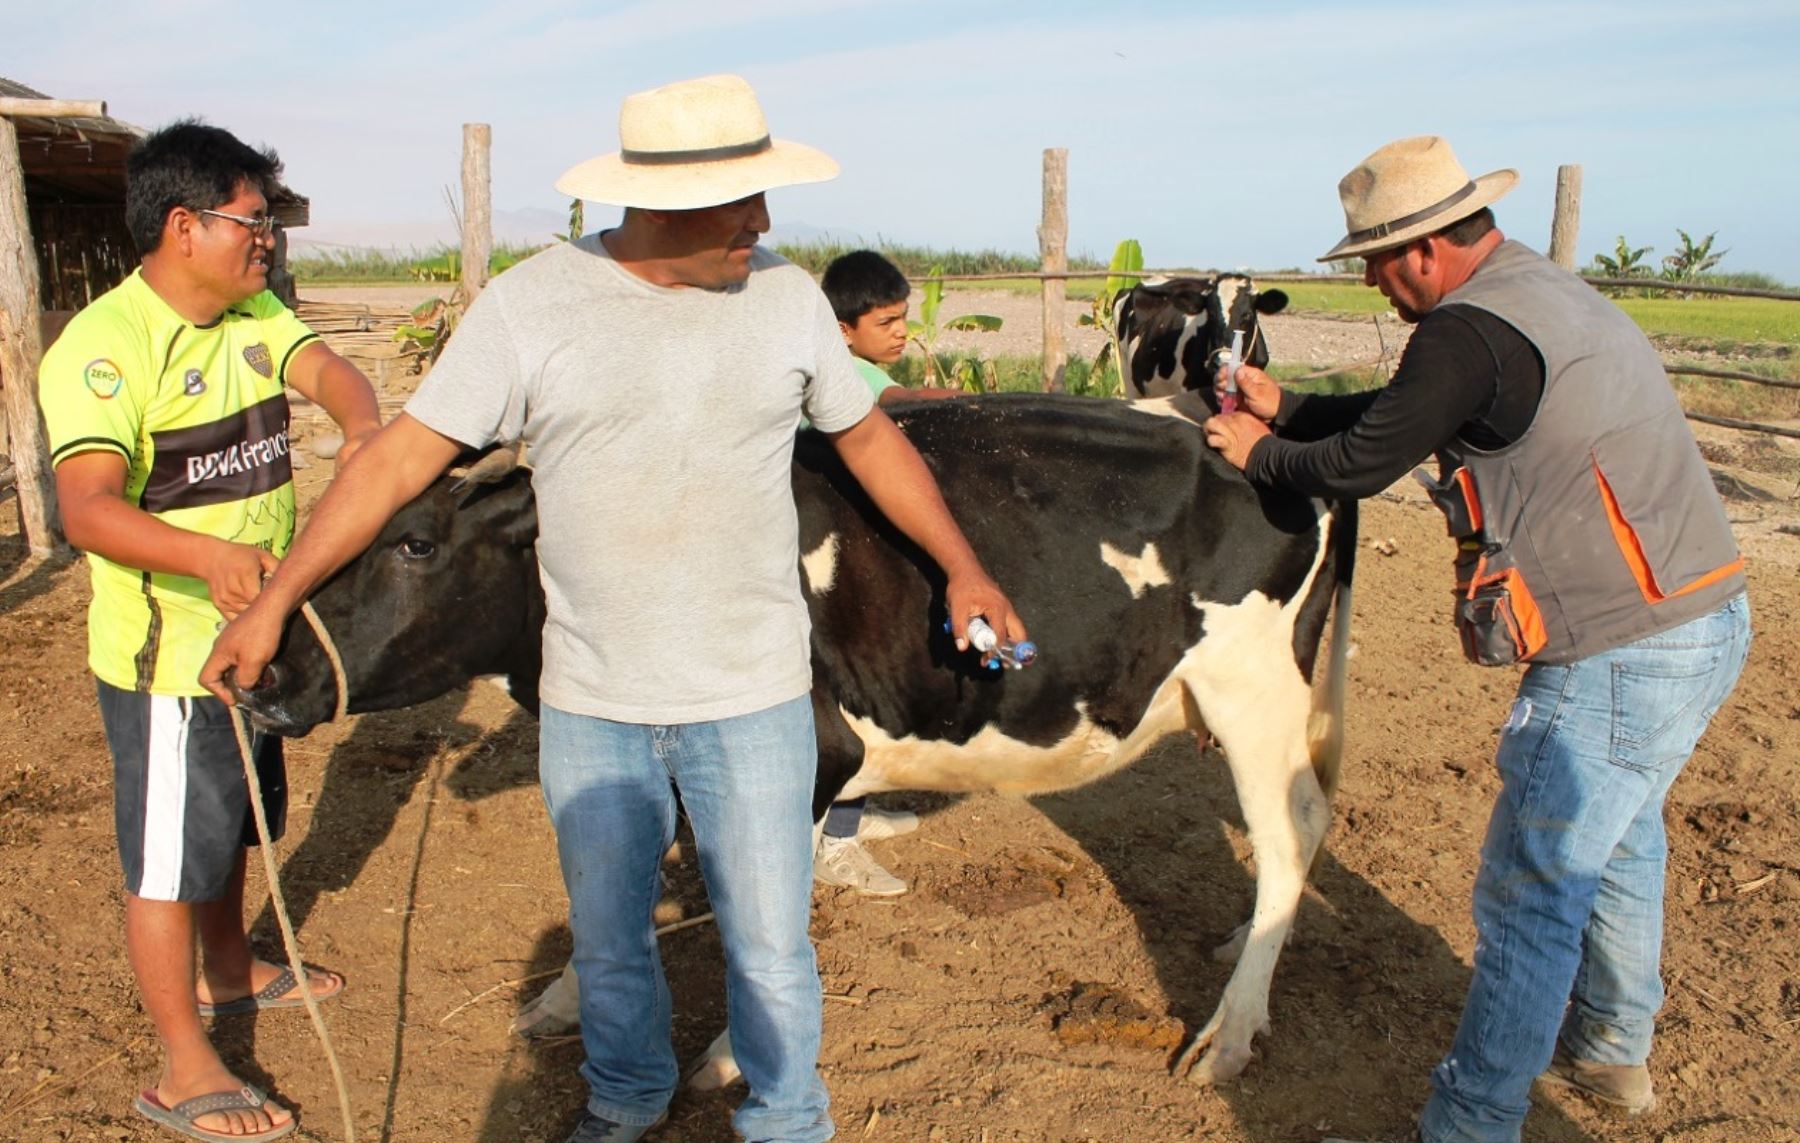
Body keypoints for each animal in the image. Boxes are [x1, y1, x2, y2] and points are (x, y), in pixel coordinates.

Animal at [235, 396, 1353, 1094]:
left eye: (416, 542)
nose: (266, 675)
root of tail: (1256, 440)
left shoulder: (808, 753)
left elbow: (754, 910)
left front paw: (734, 1055)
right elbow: (631, 877)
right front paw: (562, 999)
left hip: (1254, 689)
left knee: (1289, 831)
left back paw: (1229, 1031)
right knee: (1301, 833)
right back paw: (1241, 946)